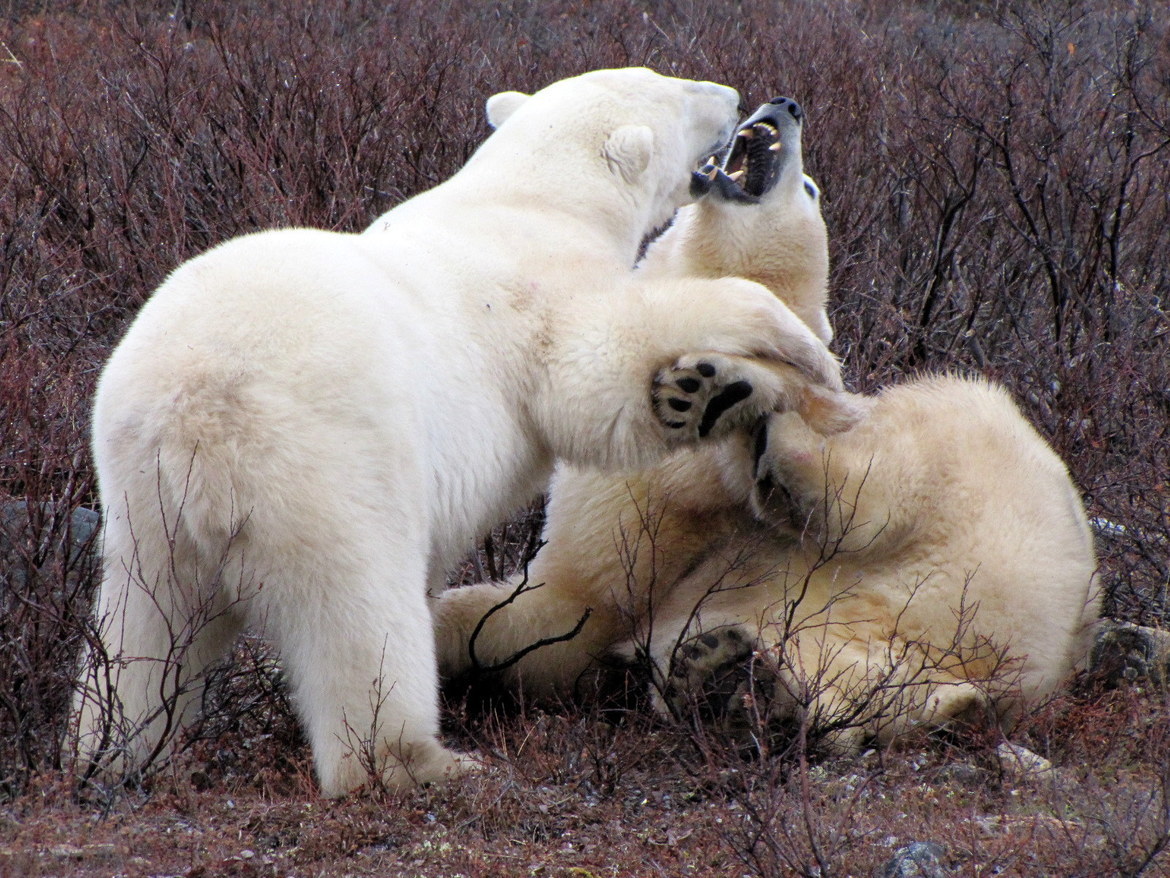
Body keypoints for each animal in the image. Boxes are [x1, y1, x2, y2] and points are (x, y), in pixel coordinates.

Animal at [74, 69, 858, 797]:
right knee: (358, 618)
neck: (532, 199)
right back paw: (420, 762)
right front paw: (803, 353)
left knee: (139, 629)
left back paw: (113, 750)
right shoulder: (537, 296)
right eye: (673, 89)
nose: (738, 97)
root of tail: (198, 412)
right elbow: (595, 377)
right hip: (323, 468)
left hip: (144, 499)